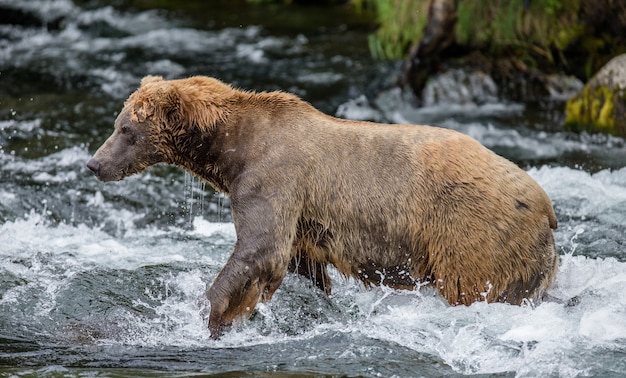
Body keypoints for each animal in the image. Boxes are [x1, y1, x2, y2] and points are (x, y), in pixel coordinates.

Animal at [86, 75, 556, 338]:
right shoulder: (303, 218)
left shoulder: (272, 179)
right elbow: (299, 264)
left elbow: (260, 249)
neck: (230, 150)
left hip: (471, 235)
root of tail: (546, 204)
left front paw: (216, 317)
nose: (94, 163)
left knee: (475, 285)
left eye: (125, 129)